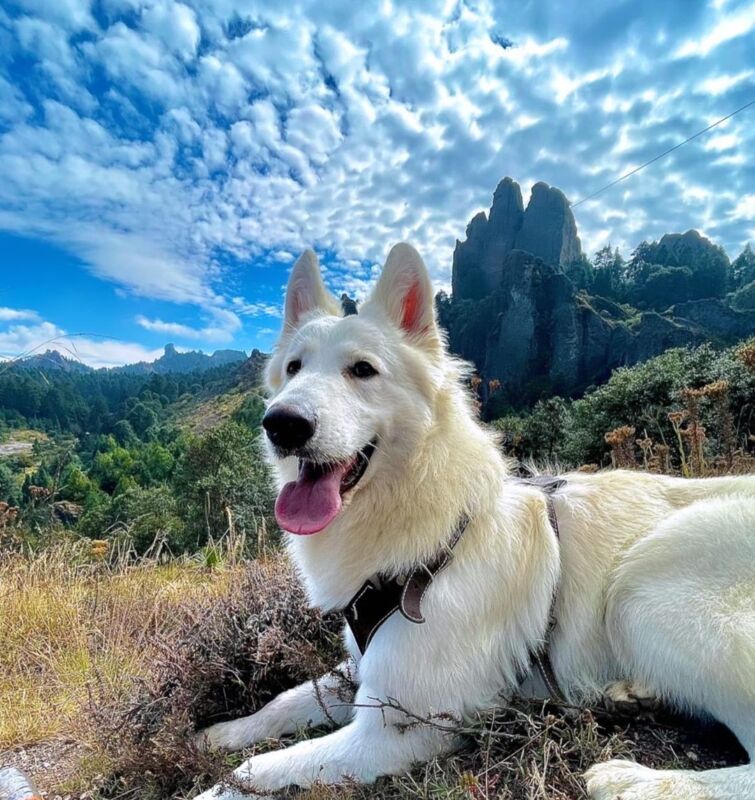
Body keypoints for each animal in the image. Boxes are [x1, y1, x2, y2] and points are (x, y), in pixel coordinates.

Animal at [199, 244, 755, 800]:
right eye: (293, 368)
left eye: (362, 370)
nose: (281, 424)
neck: (428, 531)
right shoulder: (363, 668)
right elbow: (286, 700)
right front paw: (223, 732)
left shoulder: (396, 731)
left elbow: (258, 769)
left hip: (642, 591)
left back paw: (634, 779)